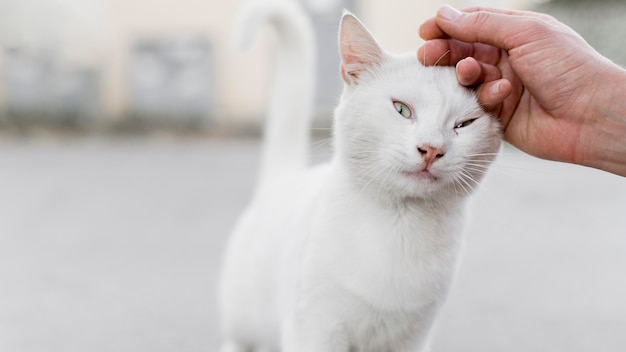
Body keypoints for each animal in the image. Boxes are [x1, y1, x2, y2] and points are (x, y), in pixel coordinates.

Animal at [217, 1, 500, 350]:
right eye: (402, 109)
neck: (401, 226)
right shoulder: (315, 328)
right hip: (246, 324)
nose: (432, 149)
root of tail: (281, 181)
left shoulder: (413, 338)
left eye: (464, 124)